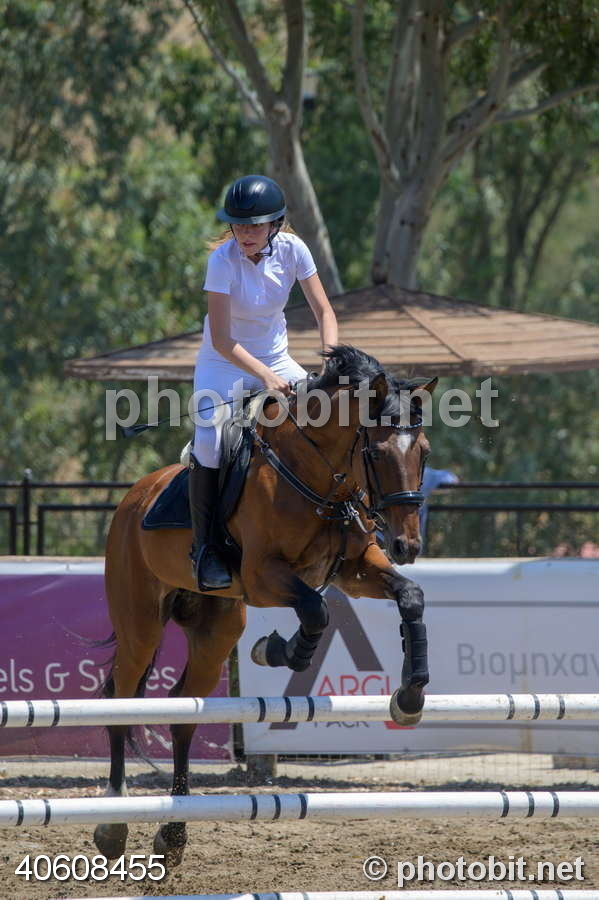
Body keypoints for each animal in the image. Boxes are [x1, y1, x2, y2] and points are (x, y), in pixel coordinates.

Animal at [94, 345, 436, 867]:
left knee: (182, 712)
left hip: (216, 630)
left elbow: (409, 598)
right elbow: (316, 611)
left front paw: (411, 696)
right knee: (121, 698)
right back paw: (113, 826)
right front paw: (280, 651)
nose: (407, 545)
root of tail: (136, 496)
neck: (321, 478)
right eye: (376, 453)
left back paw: (173, 834)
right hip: (140, 625)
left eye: (424, 453)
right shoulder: (262, 576)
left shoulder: (356, 569)